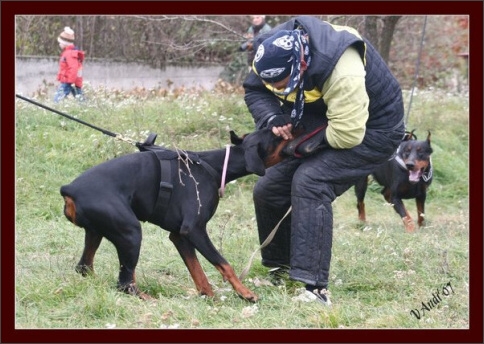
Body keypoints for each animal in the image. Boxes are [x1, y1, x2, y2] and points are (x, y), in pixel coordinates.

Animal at [59, 129, 294, 300]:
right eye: (277, 135)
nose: (293, 125)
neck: (214, 167)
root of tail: (69, 189)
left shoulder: (179, 236)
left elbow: (198, 272)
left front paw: (210, 297)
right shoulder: (195, 230)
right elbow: (223, 263)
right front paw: (245, 293)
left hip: (96, 232)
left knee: (84, 267)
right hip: (131, 233)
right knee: (125, 283)